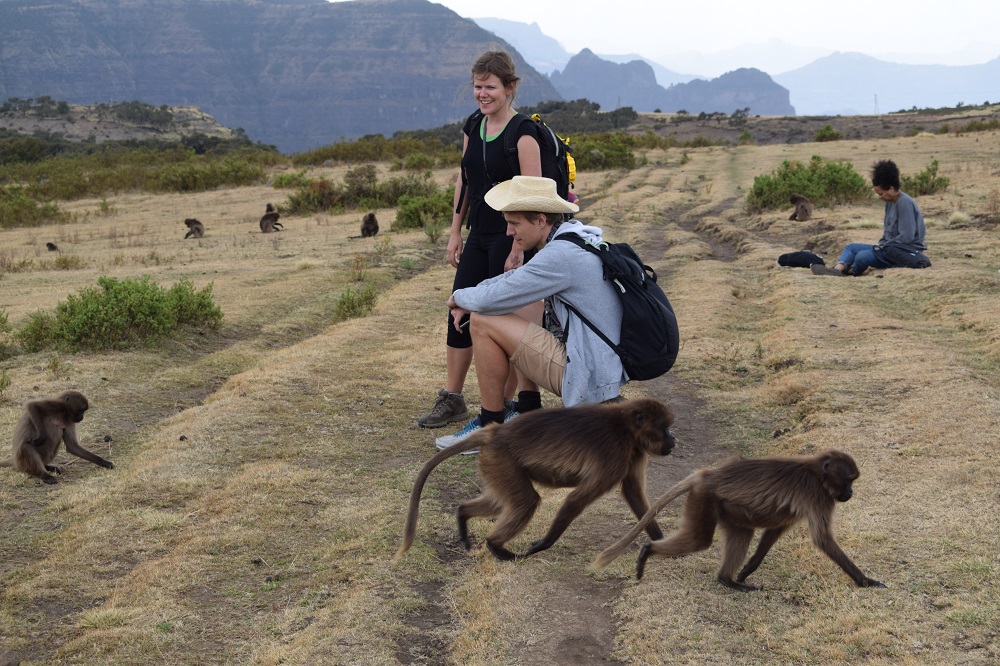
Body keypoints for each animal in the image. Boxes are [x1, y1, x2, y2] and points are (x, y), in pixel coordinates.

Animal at [395, 398, 676, 562]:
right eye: (664, 428)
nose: (672, 440)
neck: (626, 427)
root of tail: (495, 431)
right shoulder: (615, 454)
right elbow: (576, 499)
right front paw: (544, 544)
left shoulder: (634, 452)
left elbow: (634, 494)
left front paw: (660, 544)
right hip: (502, 460)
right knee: (526, 502)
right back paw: (496, 546)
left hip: (495, 464)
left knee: (502, 501)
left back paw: (463, 515)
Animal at [592, 449, 885, 591]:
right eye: (848, 480)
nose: (850, 493)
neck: (818, 473)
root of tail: (707, 474)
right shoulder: (818, 498)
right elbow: (823, 540)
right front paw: (866, 581)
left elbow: (773, 532)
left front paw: (746, 571)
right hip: (704, 498)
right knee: (700, 539)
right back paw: (647, 551)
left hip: (724, 507)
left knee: (741, 533)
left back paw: (728, 580)